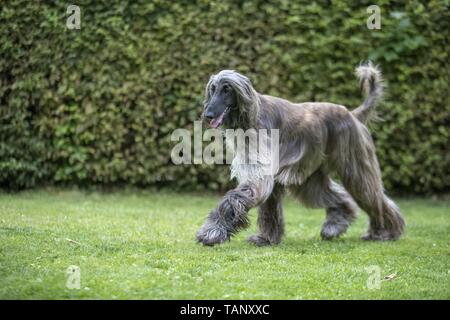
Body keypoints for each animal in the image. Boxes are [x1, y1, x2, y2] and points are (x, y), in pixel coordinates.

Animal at [196, 62, 404, 246]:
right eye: (212, 89)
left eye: (227, 89)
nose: (208, 115)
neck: (250, 117)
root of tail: (352, 114)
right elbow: (269, 209)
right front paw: (266, 239)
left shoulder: (260, 174)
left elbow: (234, 198)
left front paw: (211, 232)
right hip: (310, 177)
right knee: (339, 197)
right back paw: (335, 225)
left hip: (355, 166)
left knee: (374, 197)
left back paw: (385, 232)